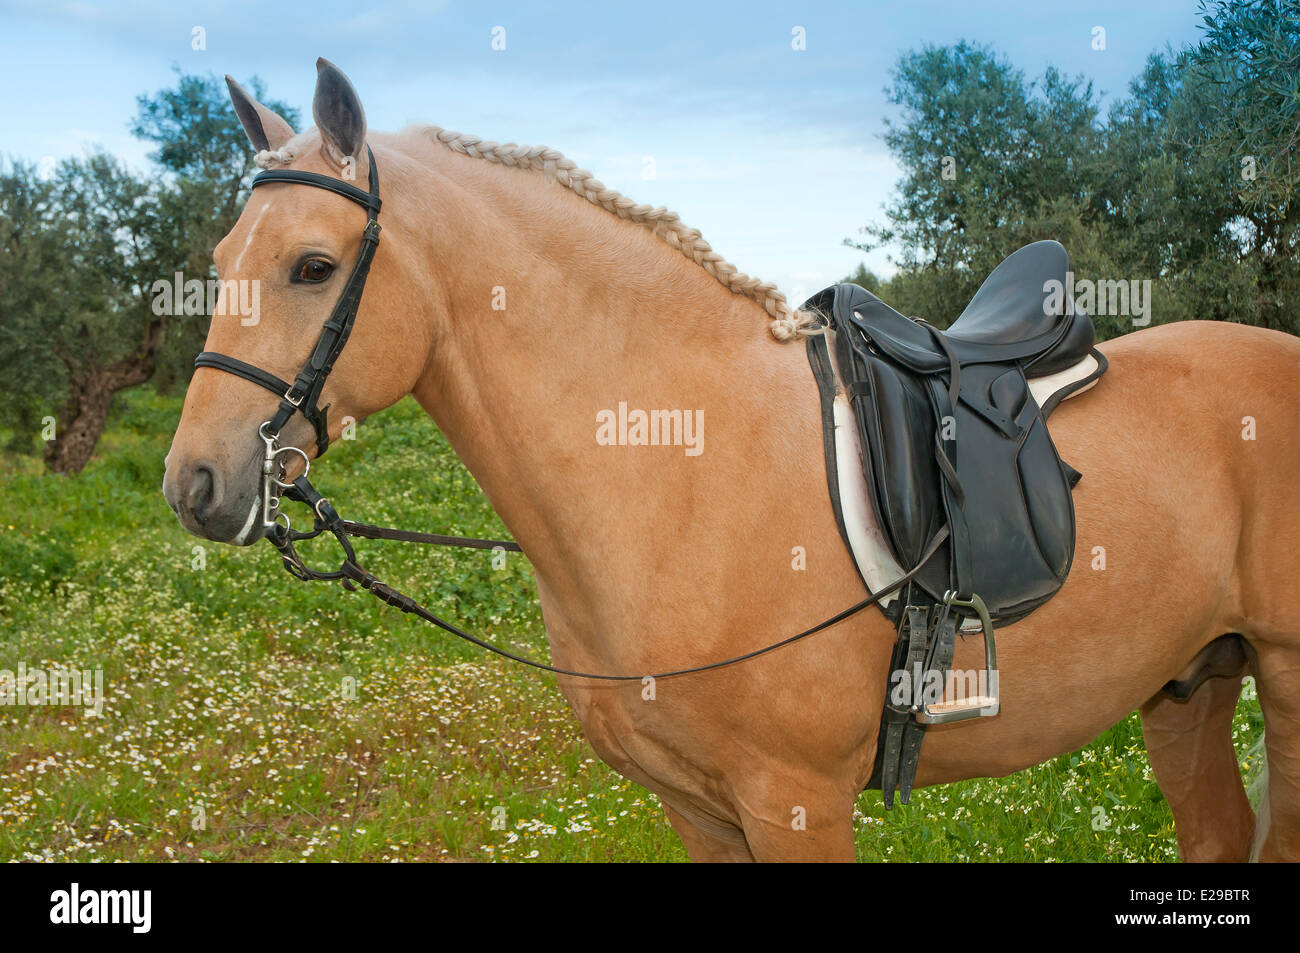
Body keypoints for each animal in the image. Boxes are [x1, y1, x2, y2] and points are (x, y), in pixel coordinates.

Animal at [162, 59, 1300, 863]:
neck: (682, 468)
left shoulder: (796, 803)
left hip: (1281, 679)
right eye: (217, 262)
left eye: (313, 265)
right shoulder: (698, 809)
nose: (196, 484)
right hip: (1189, 681)